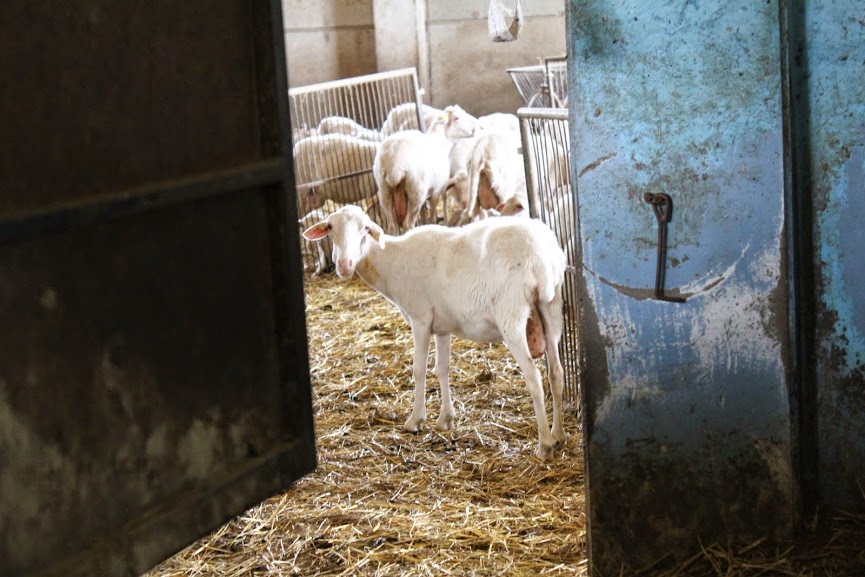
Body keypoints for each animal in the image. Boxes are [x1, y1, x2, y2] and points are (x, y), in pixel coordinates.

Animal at [302, 205, 568, 460]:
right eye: (330, 227)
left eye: (365, 228)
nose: (344, 265)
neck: (391, 262)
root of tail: (542, 259)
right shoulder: (443, 325)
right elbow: (442, 368)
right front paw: (446, 419)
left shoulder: (420, 318)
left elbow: (419, 370)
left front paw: (415, 420)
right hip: (551, 308)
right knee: (556, 372)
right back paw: (558, 433)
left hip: (511, 316)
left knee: (534, 377)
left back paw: (544, 445)